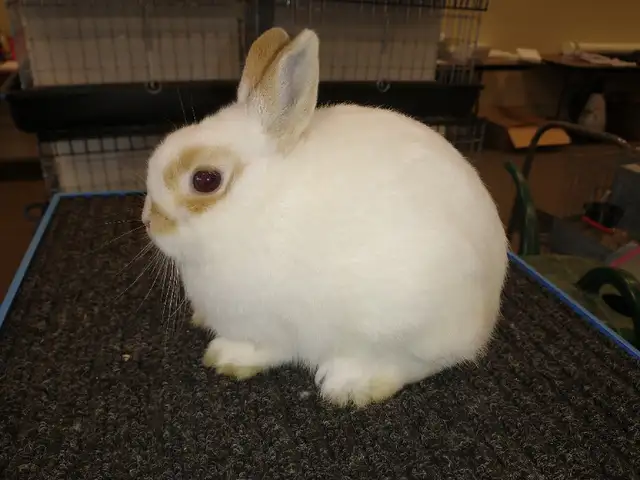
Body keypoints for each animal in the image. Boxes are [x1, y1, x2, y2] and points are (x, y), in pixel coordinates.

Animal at [142, 27, 508, 408]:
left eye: (205, 180)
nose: (149, 222)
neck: (258, 203)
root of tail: (486, 313)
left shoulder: (273, 326)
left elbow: (264, 349)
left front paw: (227, 358)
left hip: (405, 321)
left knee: (412, 364)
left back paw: (352, 383)